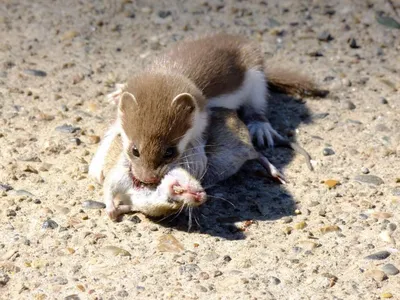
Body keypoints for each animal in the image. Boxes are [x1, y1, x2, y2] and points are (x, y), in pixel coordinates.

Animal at [104, 34, 326, 186]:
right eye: (135, 150)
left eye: (170, 151)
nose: (147, 179)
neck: (170, 72)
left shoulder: (204, 116)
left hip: (256, 77)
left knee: (258, 106)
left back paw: (261, 128)